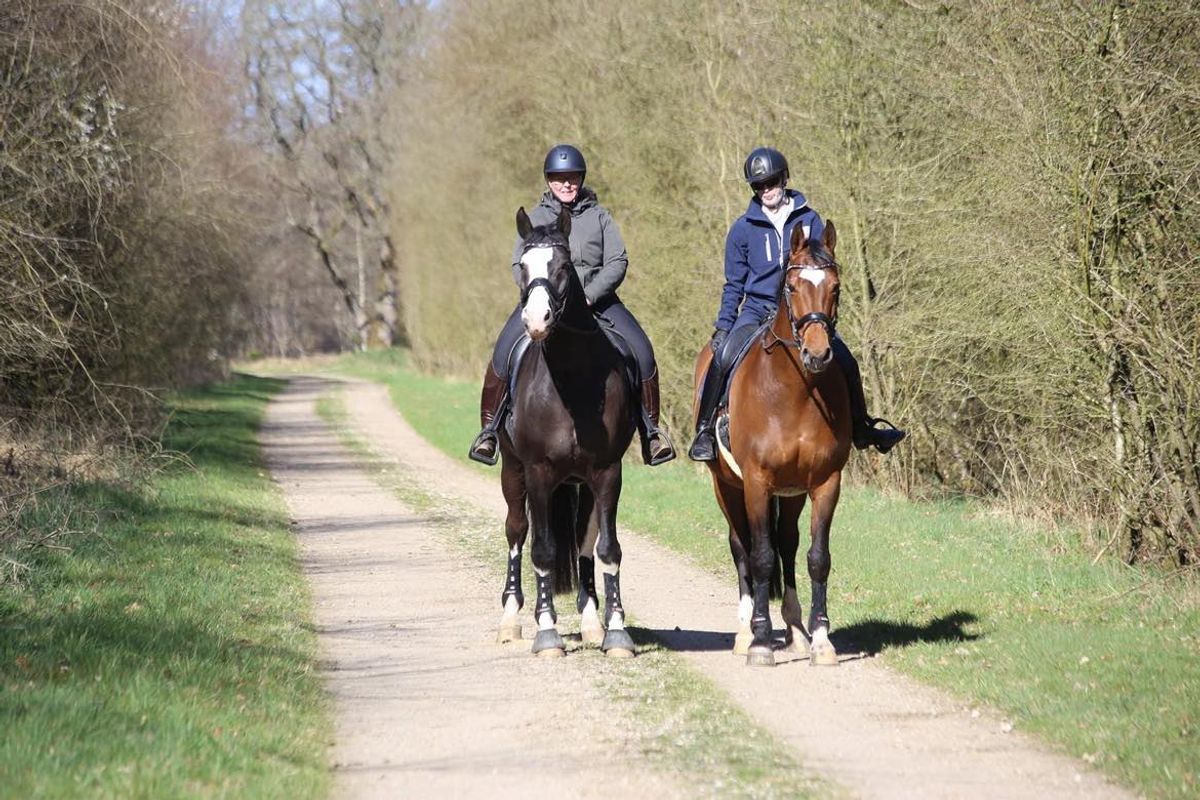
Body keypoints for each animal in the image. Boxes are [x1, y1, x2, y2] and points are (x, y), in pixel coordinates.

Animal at [492, 209, 638, 662]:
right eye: (523, 266)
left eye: (562, 266)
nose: (536, 321)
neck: (572, 380)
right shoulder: (538, 472)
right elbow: (542, 549)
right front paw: (547, 633)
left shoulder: (607, 472)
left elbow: (607, 549)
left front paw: (616, 632)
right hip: (513, 471)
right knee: (517, 531)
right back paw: (511, 620)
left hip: (582, 482)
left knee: (583, 540)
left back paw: (591, 622)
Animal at [691, 220, 849, 671]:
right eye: (792, 286)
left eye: (835, 287)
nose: (817, 354)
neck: (796, 393)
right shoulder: (757, 483)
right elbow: (760, 557)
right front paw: (760, 641)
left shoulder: (826, 483)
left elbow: (817, 557)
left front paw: (821, 640)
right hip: (727, 487)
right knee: (742, 546)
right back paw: (746, 631)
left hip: (791, 492)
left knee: (787, 543)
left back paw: (794, 630)